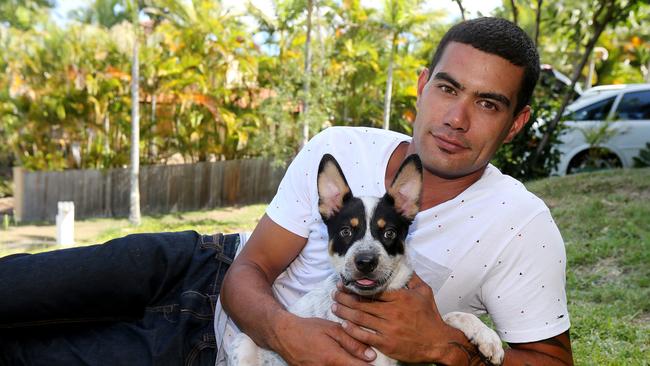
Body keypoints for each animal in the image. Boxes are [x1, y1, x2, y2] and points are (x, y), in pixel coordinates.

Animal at [230, 153, 504, 364]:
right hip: (243, 342)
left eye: (389, 232)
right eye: (345, 231)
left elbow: (449, 317)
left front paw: (487, 337)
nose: (365, 262)